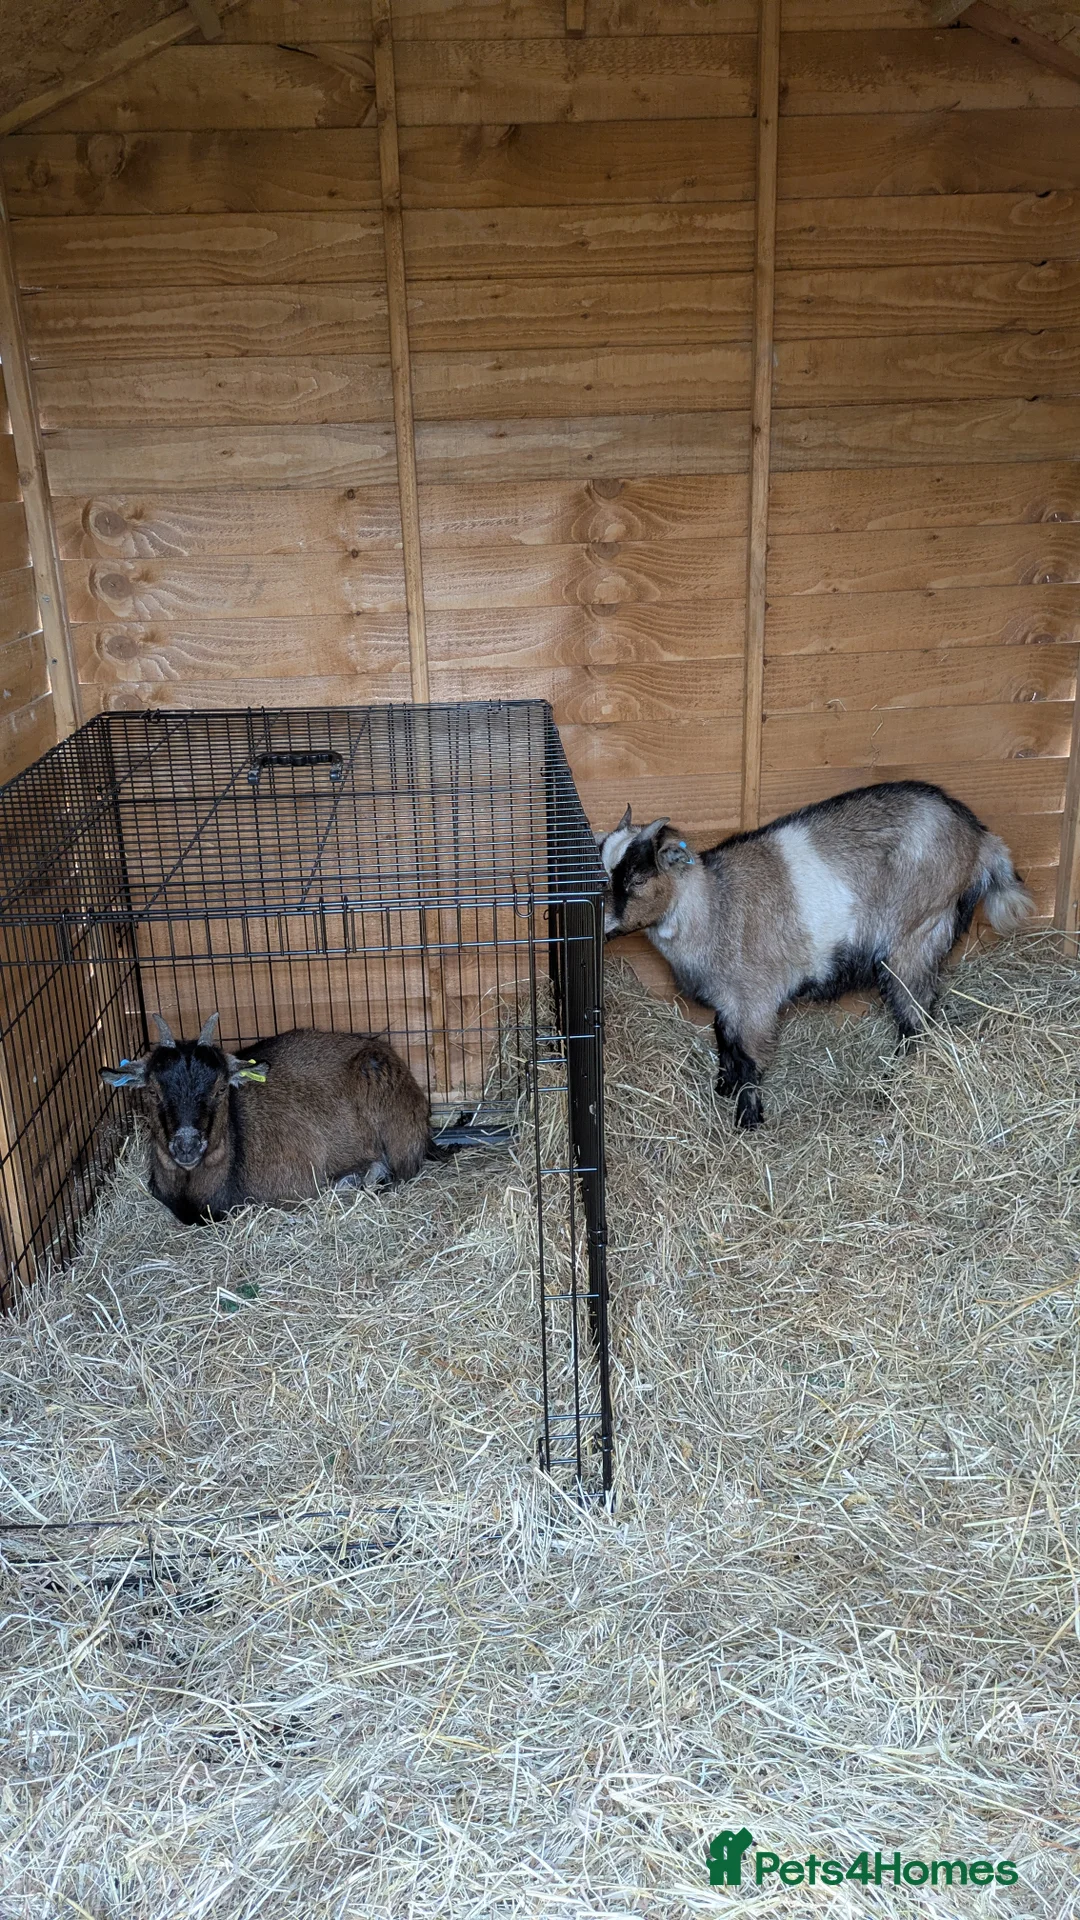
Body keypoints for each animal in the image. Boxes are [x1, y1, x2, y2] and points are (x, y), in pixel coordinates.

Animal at [598, 781, 1034, 1130]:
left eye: (636, 878)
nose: (596, 916)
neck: (712, 907)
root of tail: (981, 839)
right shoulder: (728, 999)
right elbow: (724, 1039)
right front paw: (723, 1086)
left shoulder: (756, 1000)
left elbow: (749, 1058)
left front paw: (748, 1119)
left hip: (919, 934)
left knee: (915, 1014)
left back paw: (895, 1082)